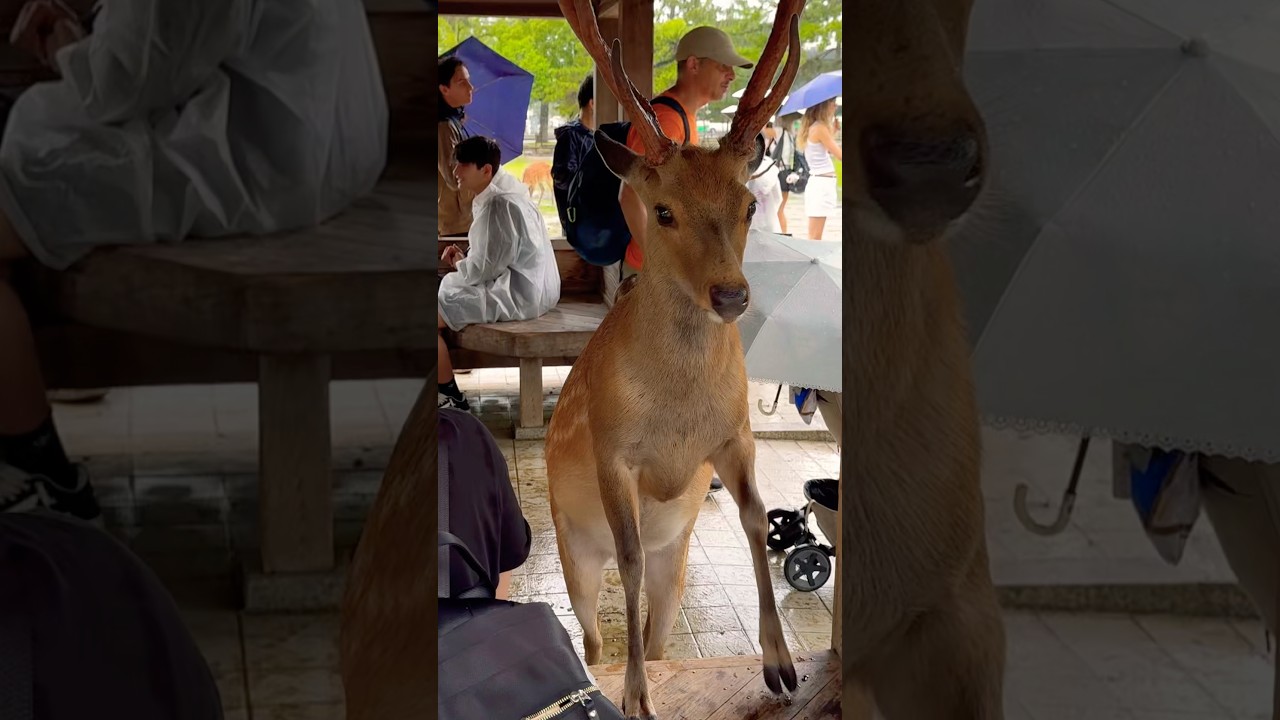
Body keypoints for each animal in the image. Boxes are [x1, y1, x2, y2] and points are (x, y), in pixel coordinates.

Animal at [544, 0, 804, 717]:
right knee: (590, 634)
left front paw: (781, 665)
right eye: (662, 211)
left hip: (678, 566)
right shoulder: (612, 450)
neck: (678, 417)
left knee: (661, 633)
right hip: (571, 550)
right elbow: (629, 556)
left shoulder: (737, 432)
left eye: (748, 204)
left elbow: (755, 517)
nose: (732, 294)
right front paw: (636, 697)